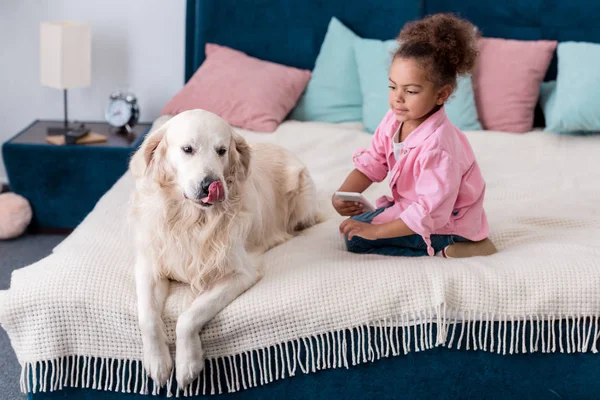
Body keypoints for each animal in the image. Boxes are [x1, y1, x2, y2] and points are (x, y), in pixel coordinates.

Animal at [129, 108, 322, 388]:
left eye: (221, 150)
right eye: (187, 149)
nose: (210, 184)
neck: (190, 220)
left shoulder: (240, 273)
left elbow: (188, 318)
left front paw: (187, 364)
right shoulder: (149, 265)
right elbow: (147, 317)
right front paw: (158, 362)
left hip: (303, 201)